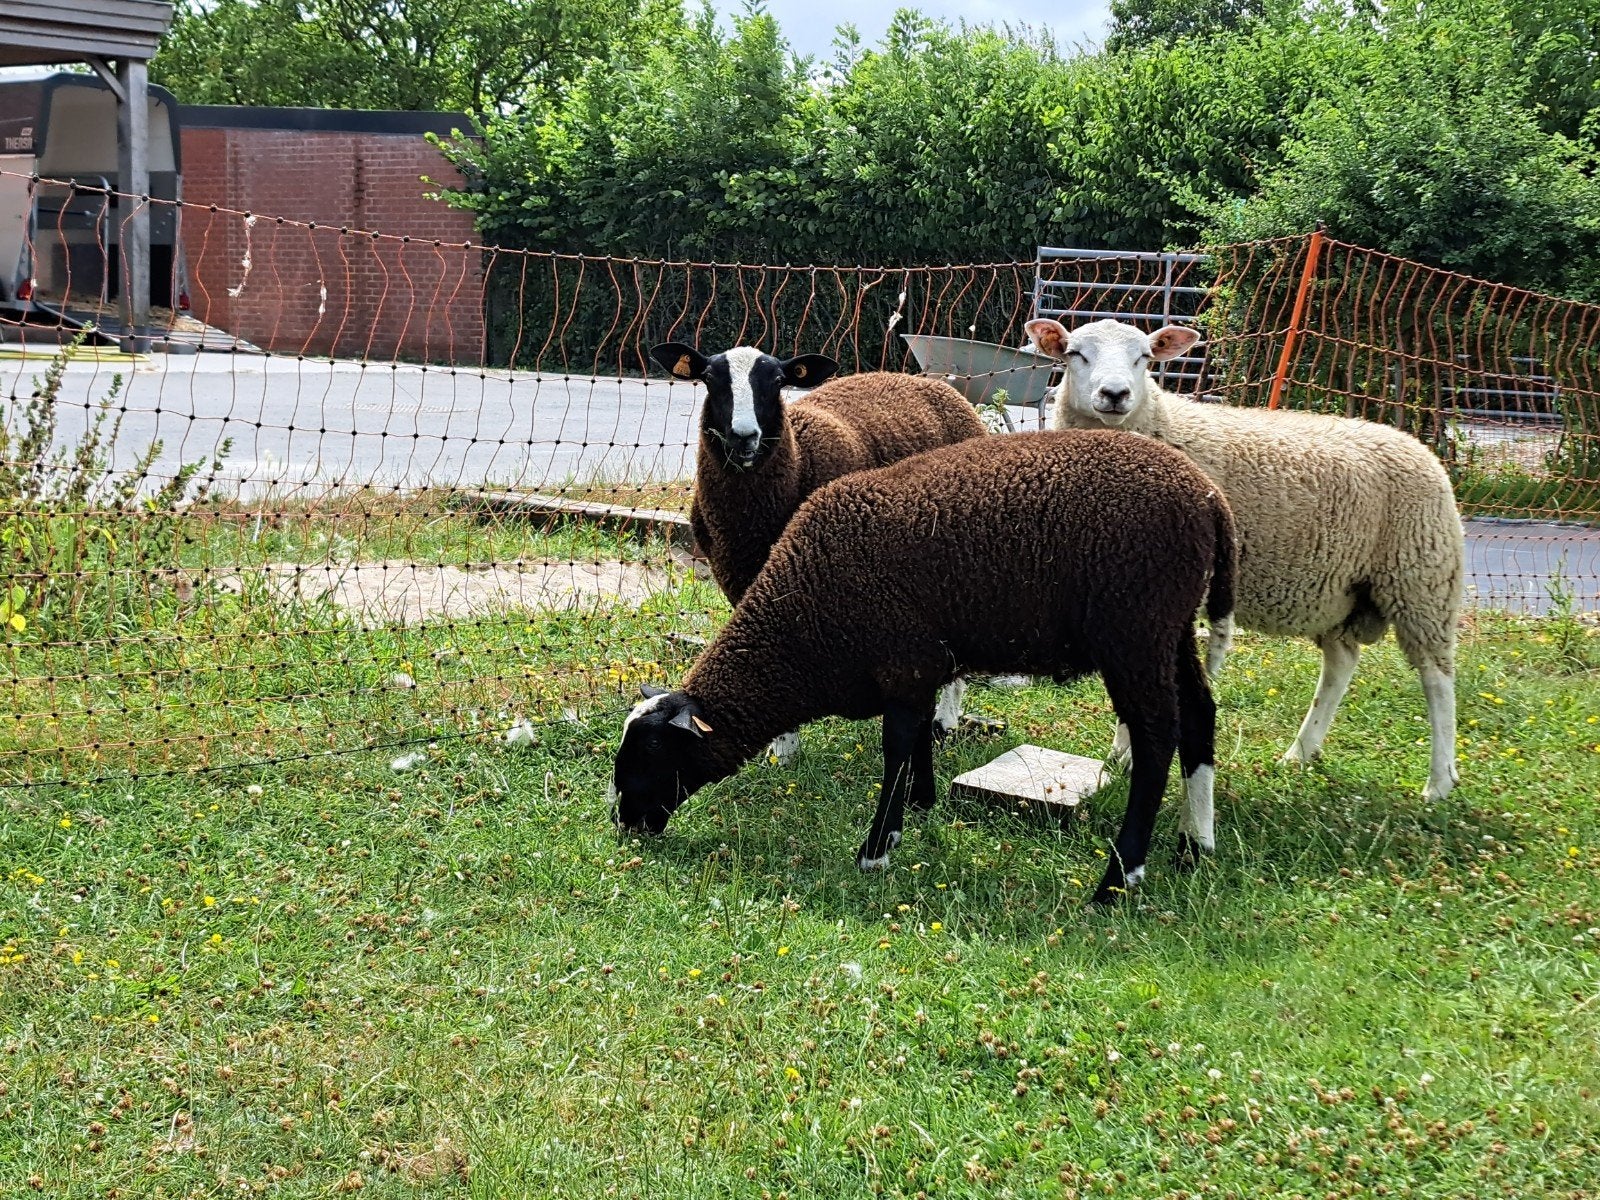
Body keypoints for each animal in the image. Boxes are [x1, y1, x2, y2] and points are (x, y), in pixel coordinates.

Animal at [610, 430, 1239, 905]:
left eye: (653, 749)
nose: (623, 822)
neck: (802, 624)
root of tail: (1210, 499)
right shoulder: (919, 665)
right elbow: (916, 740)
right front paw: (921, 802)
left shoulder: (903, 661)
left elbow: (896, 746)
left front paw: (877, 848)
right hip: (1170, 627)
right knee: (1199, 715)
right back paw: (1195, 844)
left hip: (1134, 627)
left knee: (1157, 737)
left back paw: (1117, 880)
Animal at [649, 341, 989, 751]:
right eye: (710, 378)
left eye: (778, 381)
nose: (743, 436)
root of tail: (938, 385)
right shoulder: (741, 577)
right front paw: (782, 751)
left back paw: (946, 720)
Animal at [1024, 316, 1464, 801]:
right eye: (1075, 354)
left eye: (1144, 357)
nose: (1116, 394)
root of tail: (1416, 446)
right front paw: (1122, 756)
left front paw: (1127, 756)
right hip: (1342, 591)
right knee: (1340, 664)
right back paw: (1300, 753)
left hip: (1422, 579)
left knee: (1438, 679)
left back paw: (1439, 782)